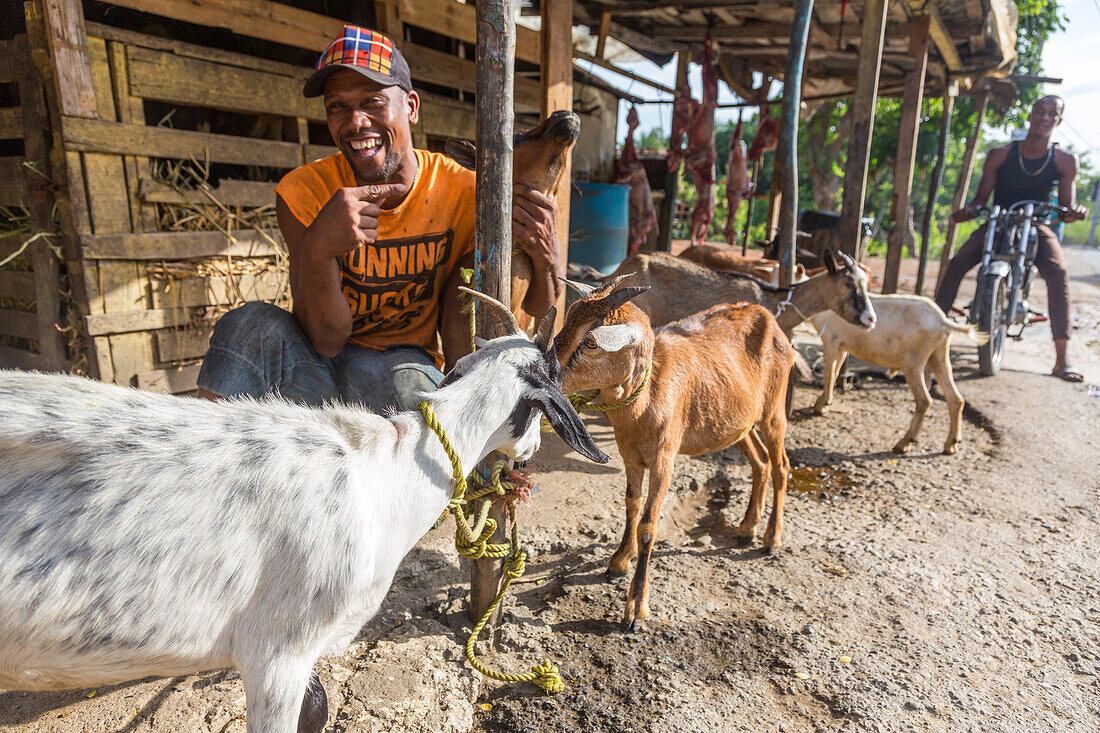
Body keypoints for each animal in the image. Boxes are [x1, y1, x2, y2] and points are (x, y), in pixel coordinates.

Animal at [558, 277, 792, 625]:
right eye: (566, 321)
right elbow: (631, 505)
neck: (646, 396)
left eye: (590, 342)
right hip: (738, 422)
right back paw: (747, 528)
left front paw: (635, 608)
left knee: (781, 466)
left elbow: (647, 524)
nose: (544, 370)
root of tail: (765, 315)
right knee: (760, 462)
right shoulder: (630, 456)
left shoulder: (663, 460)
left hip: (773, 410)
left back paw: (771, 539)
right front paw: (618, 561)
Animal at [809, 294, 990, 453]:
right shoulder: (842, 348)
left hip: (913, 362)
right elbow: (835, 372)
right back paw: (950, 445)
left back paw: (903, 444)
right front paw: (821, 404)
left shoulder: (831, 341)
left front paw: (821, 407)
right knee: (956, 399)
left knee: (924, 400)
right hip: (939, 355)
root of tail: (943, 322)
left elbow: (829, 374)